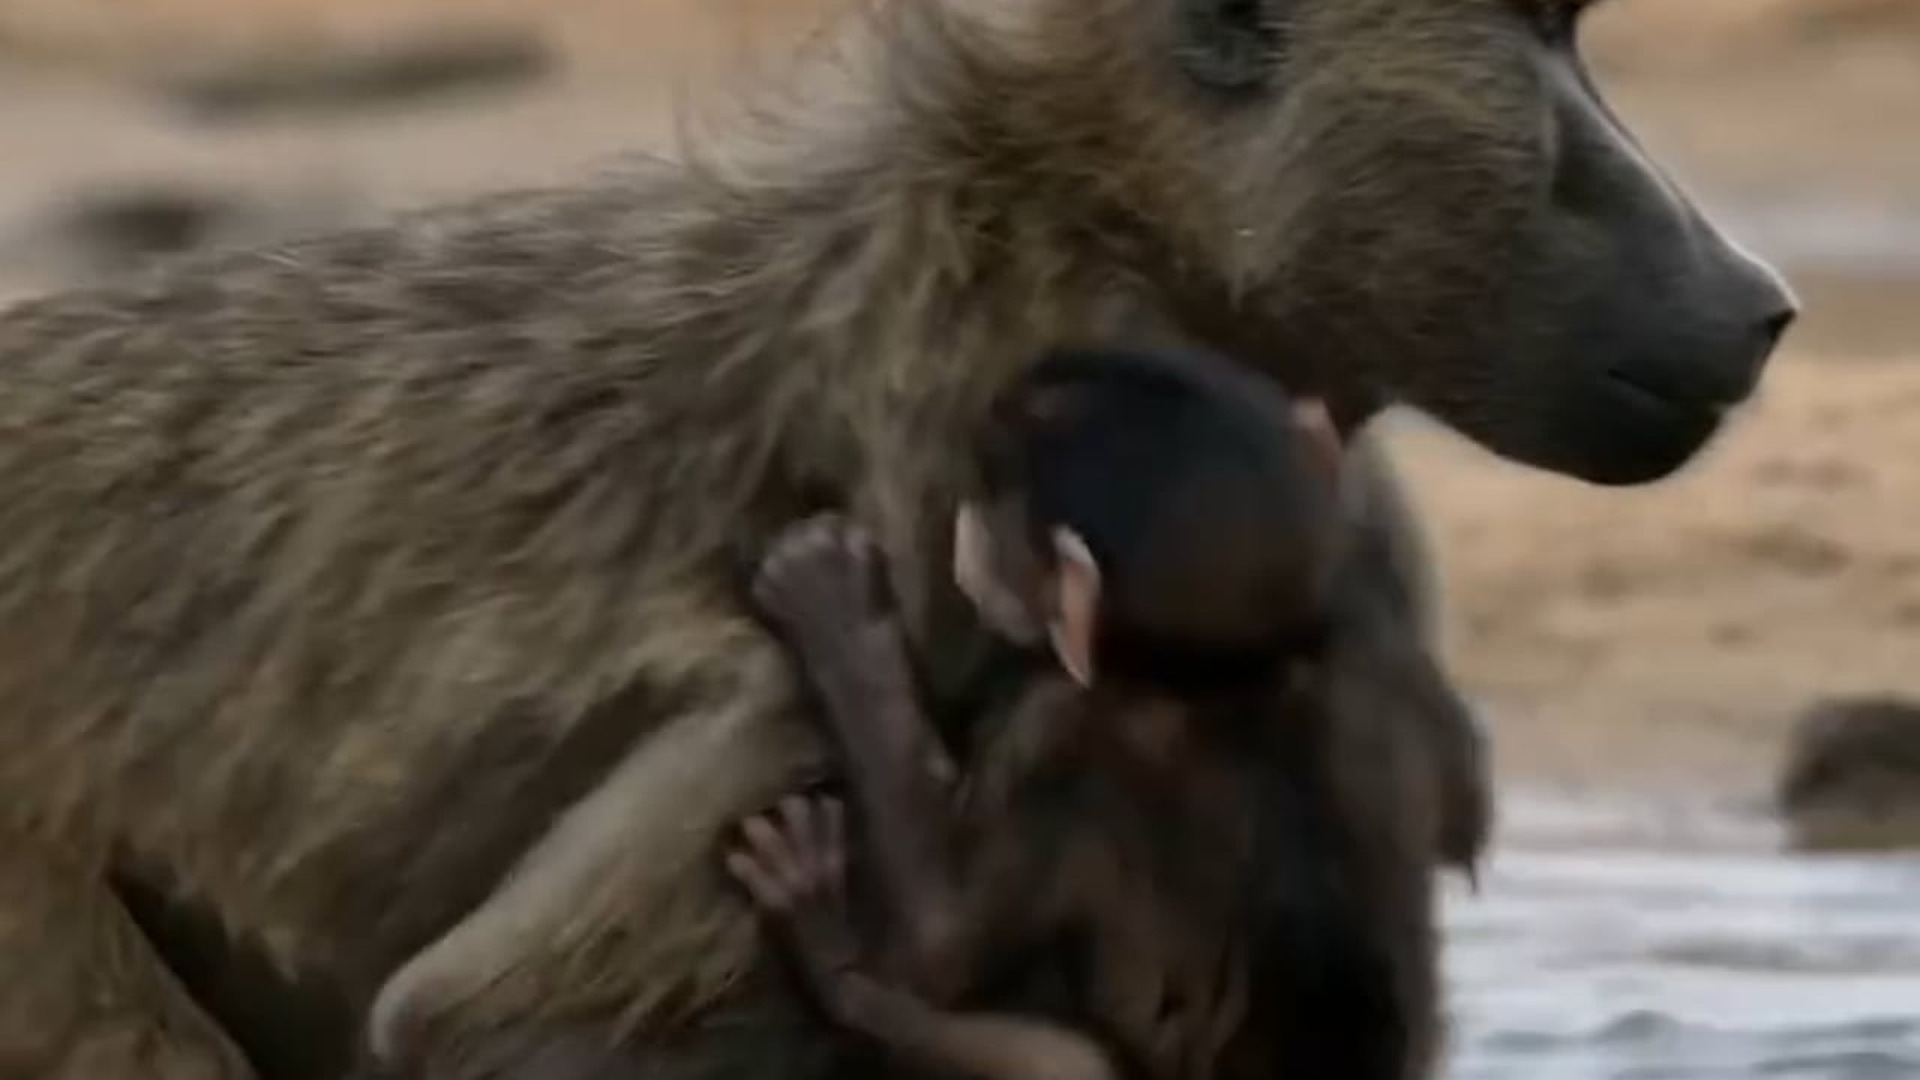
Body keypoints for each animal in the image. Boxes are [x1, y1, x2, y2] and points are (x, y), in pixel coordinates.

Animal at [722, 344, 1460, 1080]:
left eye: (998, 502)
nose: (968, 537)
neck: (1242, 672)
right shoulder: (1365, 653)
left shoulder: (1059, 726)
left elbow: (938, 941)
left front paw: (836, 609)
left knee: (1059, 1054)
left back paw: (836, 967)